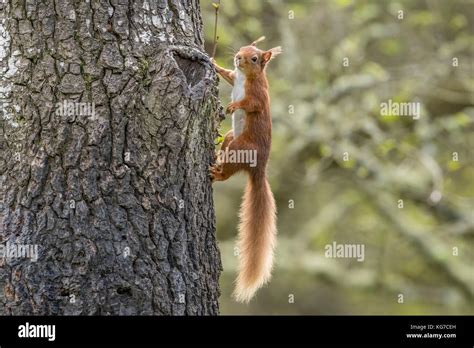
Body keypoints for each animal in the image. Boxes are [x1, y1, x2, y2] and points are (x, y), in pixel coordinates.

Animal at [209, 38, 280, 304]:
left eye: (255, 58)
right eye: (242, 48)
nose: (238, 57)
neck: (246, 77)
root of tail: (258, 169)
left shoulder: (258, 95)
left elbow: (251, 104)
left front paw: (234, 105)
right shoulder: (234, 77)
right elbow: (228, 75)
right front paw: (213, 63)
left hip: (240, 148)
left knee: (228, 171)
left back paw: (217, 173)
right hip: (231, 138)